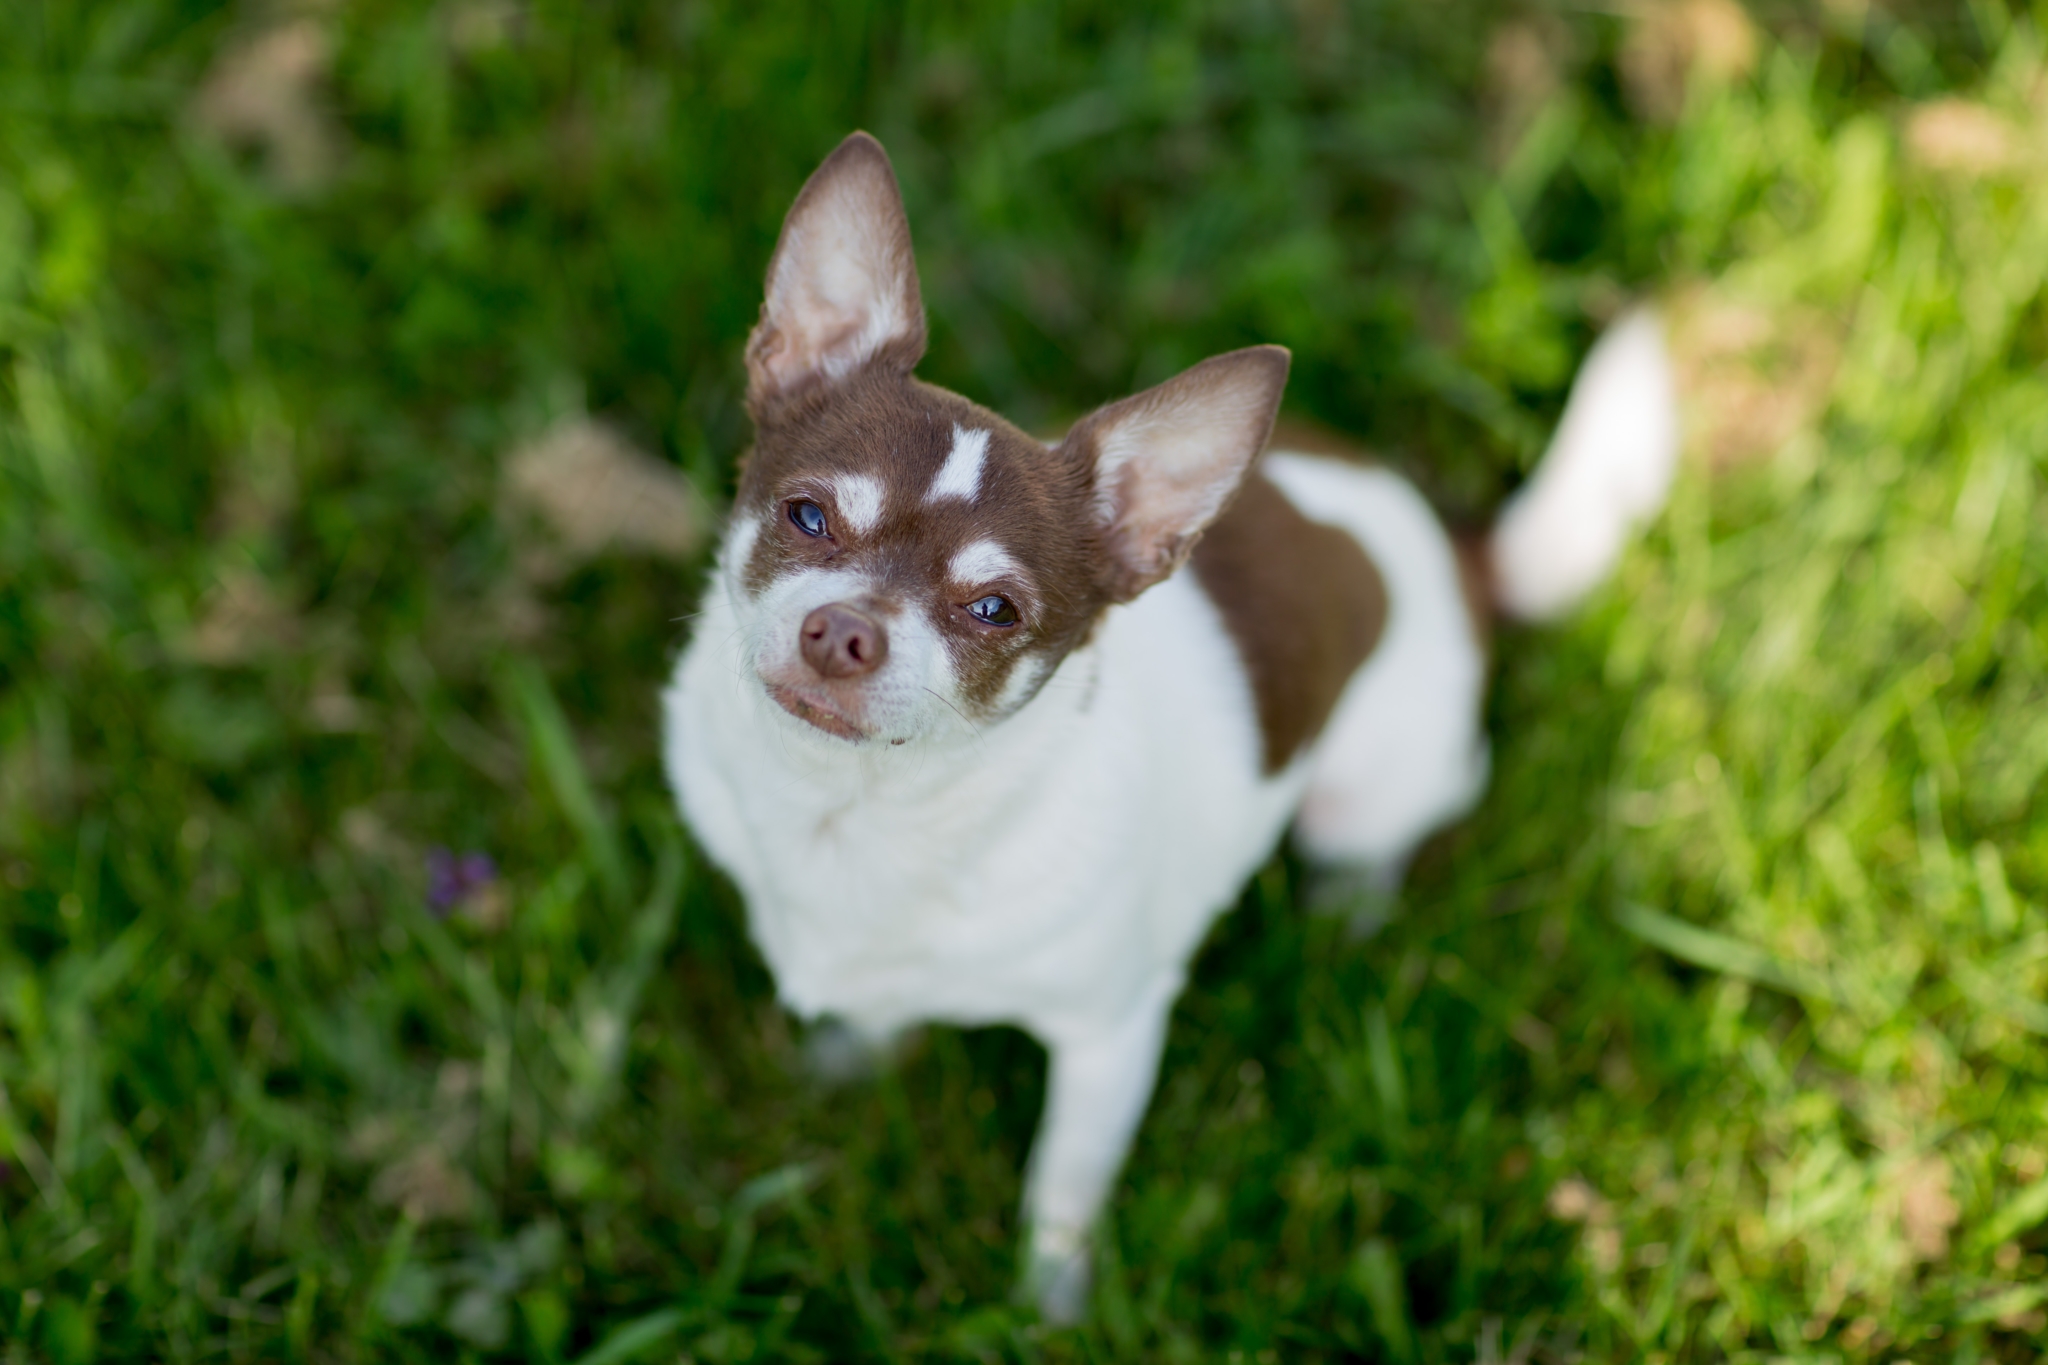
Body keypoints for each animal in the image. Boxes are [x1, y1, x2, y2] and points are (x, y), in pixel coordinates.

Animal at [663, 133, 1671, 1317]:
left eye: (993, 611)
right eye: (807, 516)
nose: (843, 632)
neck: (855, 812)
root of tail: (1450, 549)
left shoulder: (1110, 1034)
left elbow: (1063, 1183)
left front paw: (1047, 1308)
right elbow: (870, 1013)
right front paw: (848, 1068)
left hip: (1368, 791)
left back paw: (1343, 916)